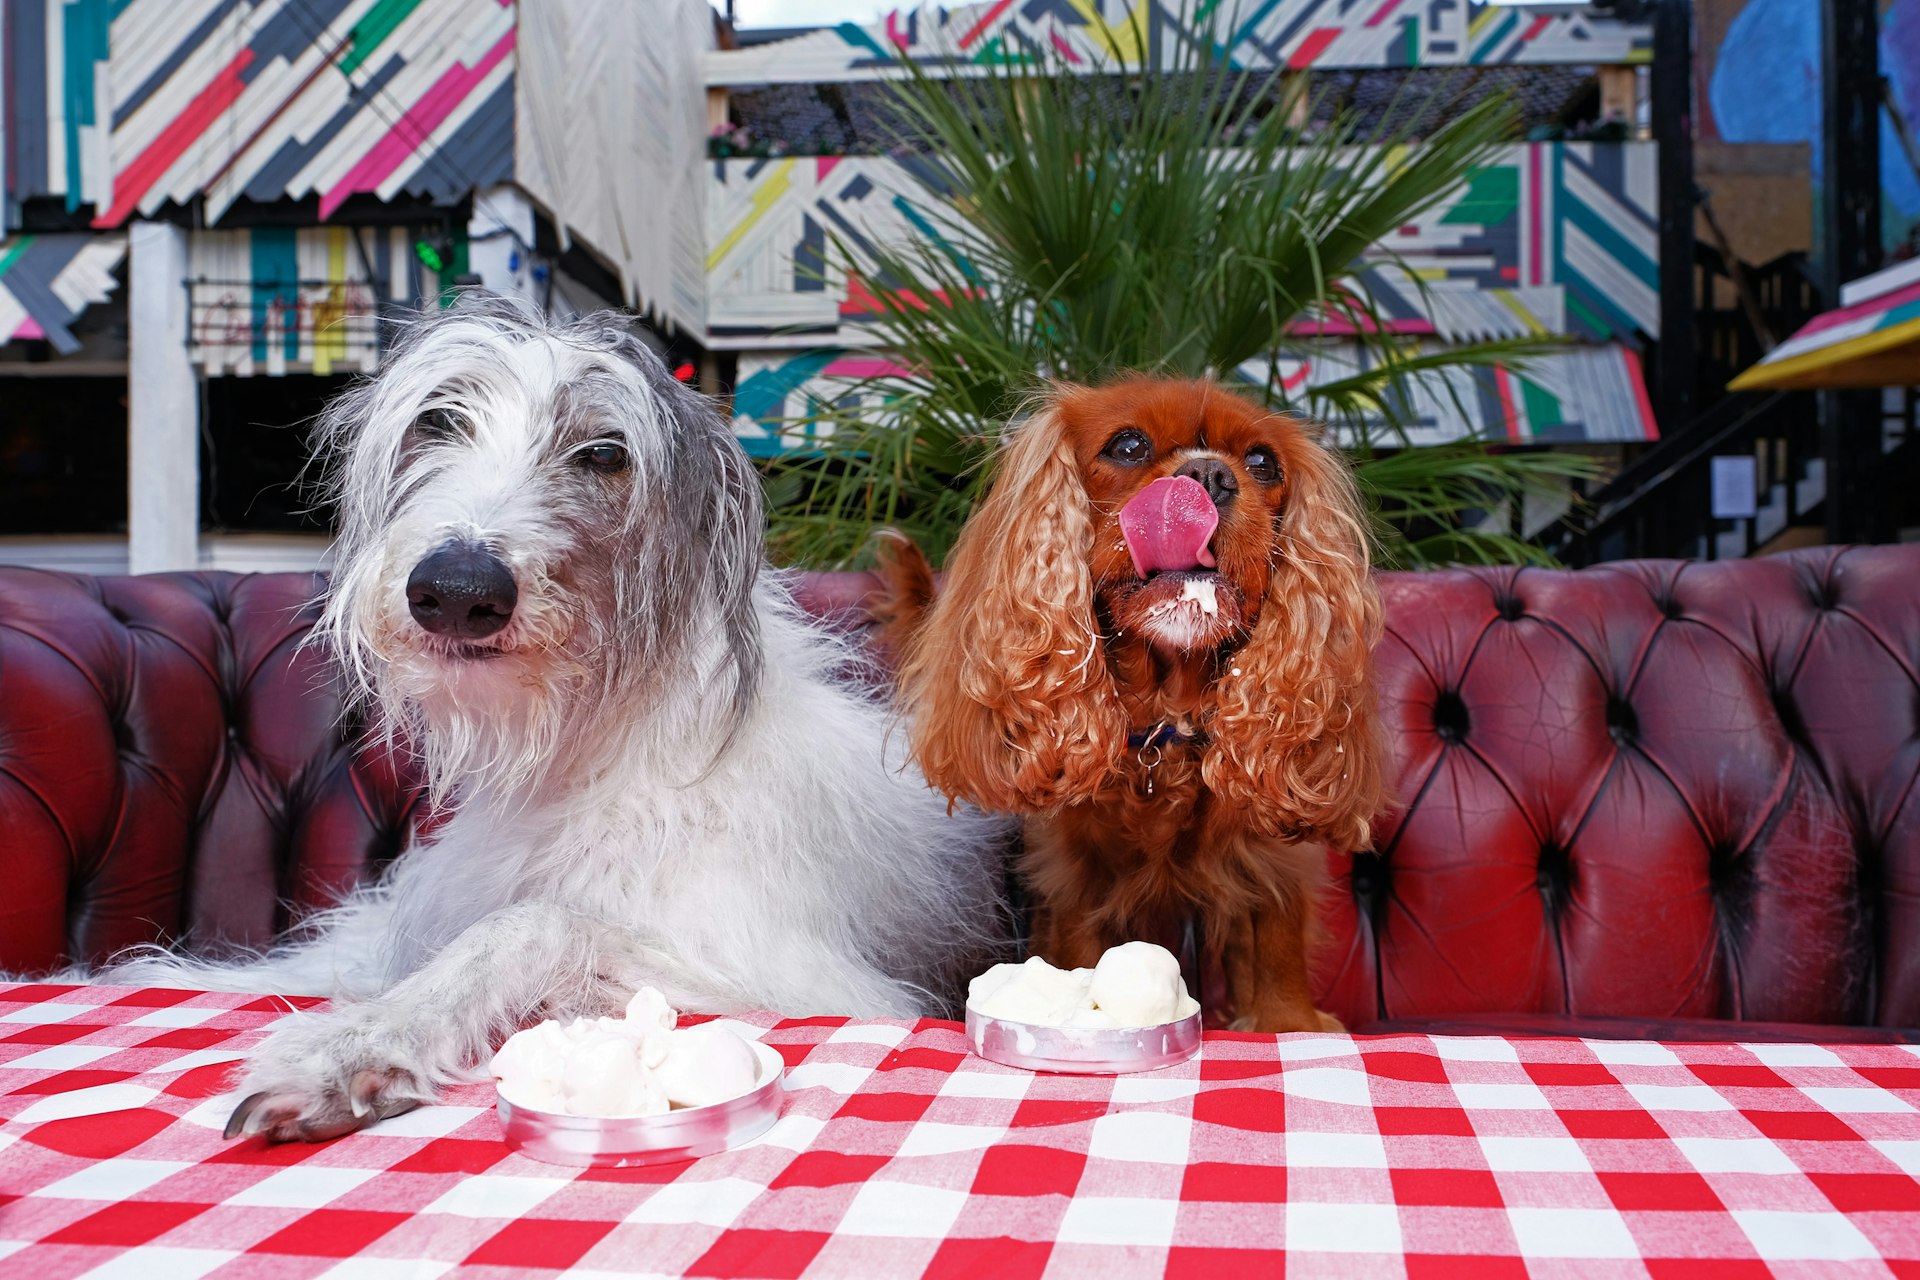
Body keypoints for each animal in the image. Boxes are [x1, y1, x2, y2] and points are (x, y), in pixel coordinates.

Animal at [101, 297, 1006, 1143]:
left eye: (605, 452)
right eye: (438, 420)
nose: (457, 591)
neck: (602, 753)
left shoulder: (816, 985)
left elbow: (531, 925)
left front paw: (356, 1046)